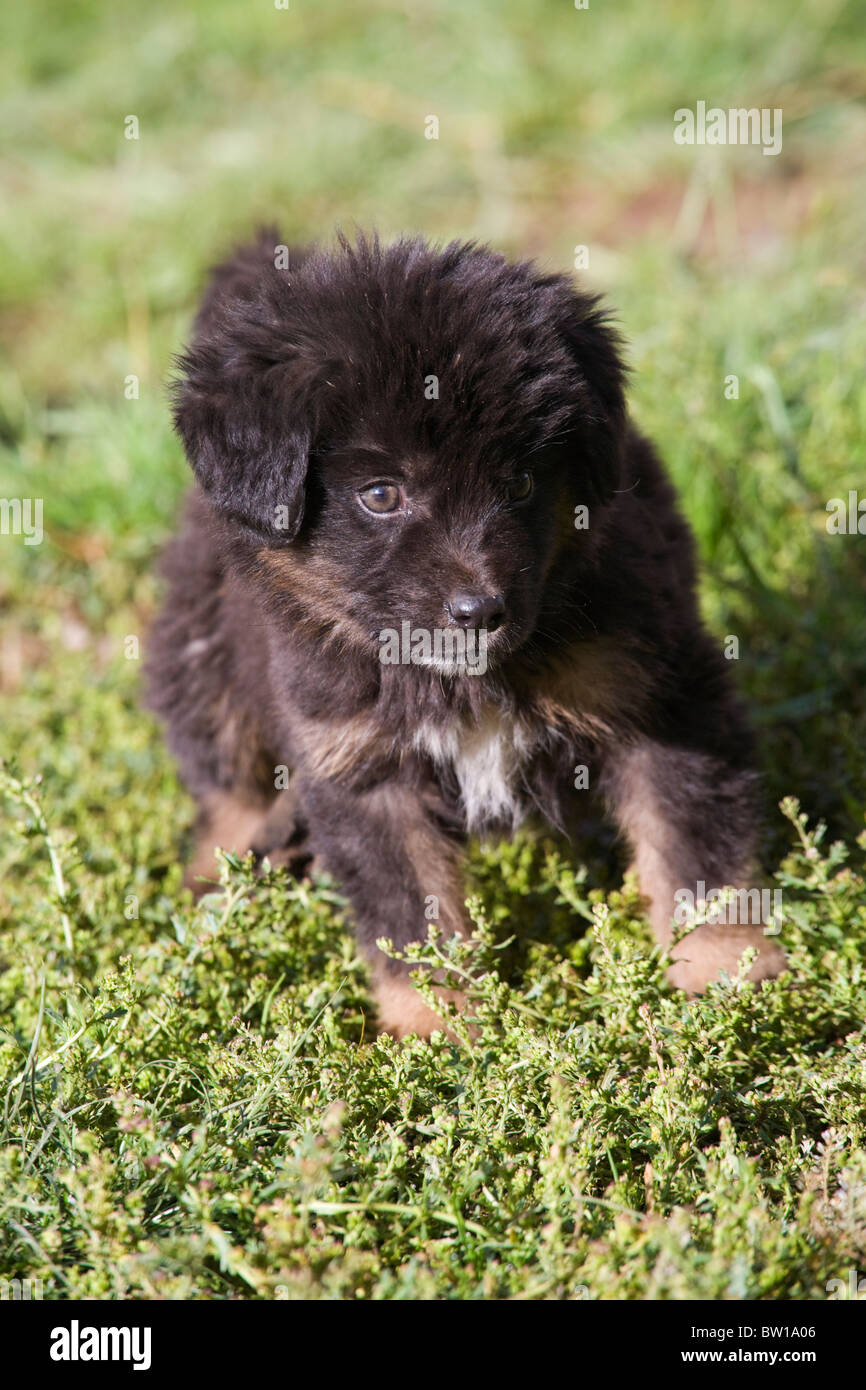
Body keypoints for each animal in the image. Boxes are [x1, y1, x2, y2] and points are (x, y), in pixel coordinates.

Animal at [147, 230, 783, 1034]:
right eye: (380, 494)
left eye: (521, 483)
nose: (481, 612)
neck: (459, 680)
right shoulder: (359, 762)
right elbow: (410, 913)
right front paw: (439, 1028)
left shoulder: (662, 694)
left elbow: (692, 844)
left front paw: (722, 975)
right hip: (201, 655)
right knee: (226, 782)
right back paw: (218, 885)